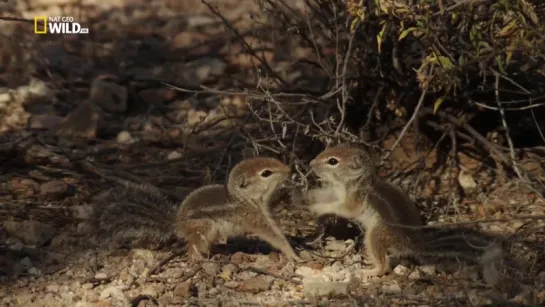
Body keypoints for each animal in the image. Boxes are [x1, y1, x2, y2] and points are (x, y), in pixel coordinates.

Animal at [90, 159, 302, 262]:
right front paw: (293, 255)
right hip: (204, 227)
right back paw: (199, 259)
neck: (244, 199)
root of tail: (177, 224)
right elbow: (273, 237)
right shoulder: (253, 217)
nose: (289, 169)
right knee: (191, 248)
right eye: (266, 173)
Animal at [302, 144, 502, 284]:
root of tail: (411, 243)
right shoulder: (338, 192)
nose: (310, 163)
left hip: (376, 235)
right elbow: (327, 196)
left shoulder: (353, 201)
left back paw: (369, 271)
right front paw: (310, 197)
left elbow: (342, 208)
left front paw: (318, 208)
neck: (358, 181)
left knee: (384, 266)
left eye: (333, 161)